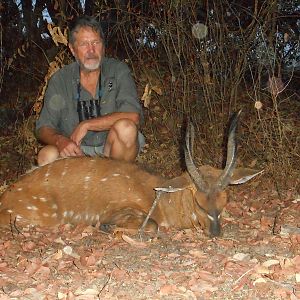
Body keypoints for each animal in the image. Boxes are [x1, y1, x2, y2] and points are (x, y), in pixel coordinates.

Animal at [0, 111, 262, 236]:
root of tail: (5, 198)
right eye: (198, 202)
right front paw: (105, 228)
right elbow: (152, 225)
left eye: (225, 200)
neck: (159, 200)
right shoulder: (118, 210)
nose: (215, 232)